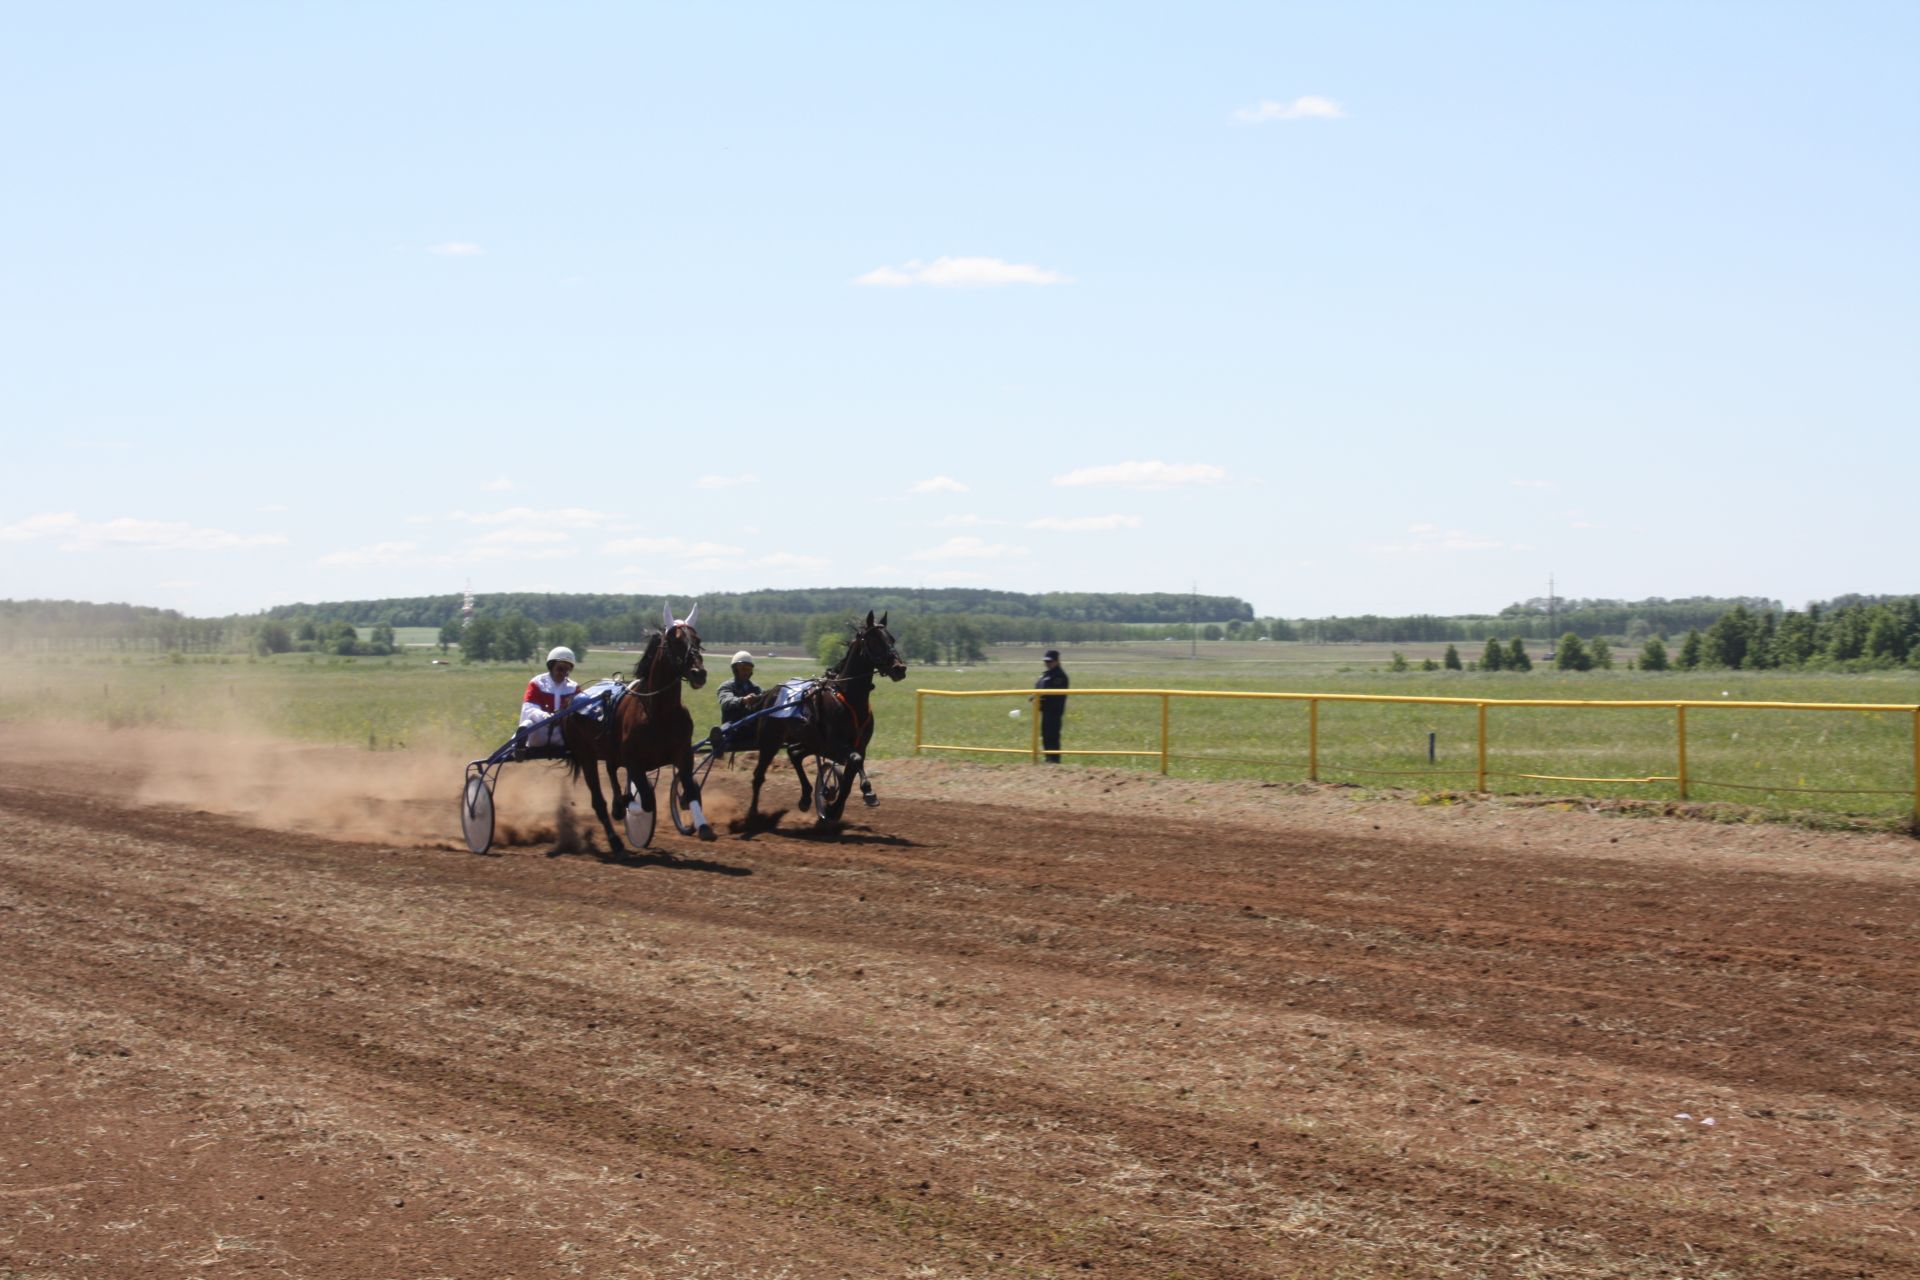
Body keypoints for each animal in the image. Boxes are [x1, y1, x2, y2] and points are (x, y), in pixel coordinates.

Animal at [568, 602, 721, 859]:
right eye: (675, 641)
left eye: (697, 639)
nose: (699, 673)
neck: (659, 713)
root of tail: (578, 697)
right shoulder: (634, 762)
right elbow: (647, 800)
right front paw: (626, 809)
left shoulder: (683, 755)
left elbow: (690, 791)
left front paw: (703, 827)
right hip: (586, 757)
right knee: (598, 800)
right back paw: (615, 837)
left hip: (608, 752)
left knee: (611, 770)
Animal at [741, 614, 906, 832]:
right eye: (874, 640)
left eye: (892, 639)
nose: (899, 668)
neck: (847, 695)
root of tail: (771, 693)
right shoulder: (837, 744)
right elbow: (854, 762)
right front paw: (864, 792)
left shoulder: (858, 746)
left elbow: (848, 779)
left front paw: (834, 808)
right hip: (770, 742)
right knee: (759, 775)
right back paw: (752, 814)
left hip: (810, 741)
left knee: (794, 753)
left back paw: (805, 797)